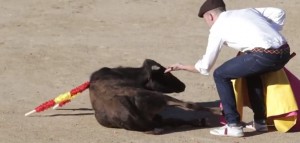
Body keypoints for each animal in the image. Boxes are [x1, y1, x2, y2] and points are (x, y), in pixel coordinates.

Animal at [89, 58, 218, 134]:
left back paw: (201, 121)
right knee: (189, 105)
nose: (183, 85)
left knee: (172, 120)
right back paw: (213, 114)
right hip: (160, 97)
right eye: (166, 74)